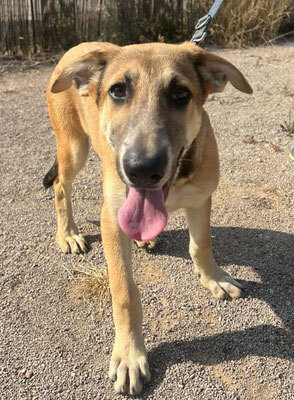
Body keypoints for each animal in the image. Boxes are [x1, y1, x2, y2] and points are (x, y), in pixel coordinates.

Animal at [43, 41, 253, 394]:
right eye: (117, 91)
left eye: (181, 94)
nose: (142, 169)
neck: (176, 181)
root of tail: (80, 46)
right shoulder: (112, 218)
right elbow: (125, 292)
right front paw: (130, 354)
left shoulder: (201, 200)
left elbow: (202, 245)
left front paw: (214, 278)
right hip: (73, 147)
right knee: (61, 186)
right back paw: (68, 233)